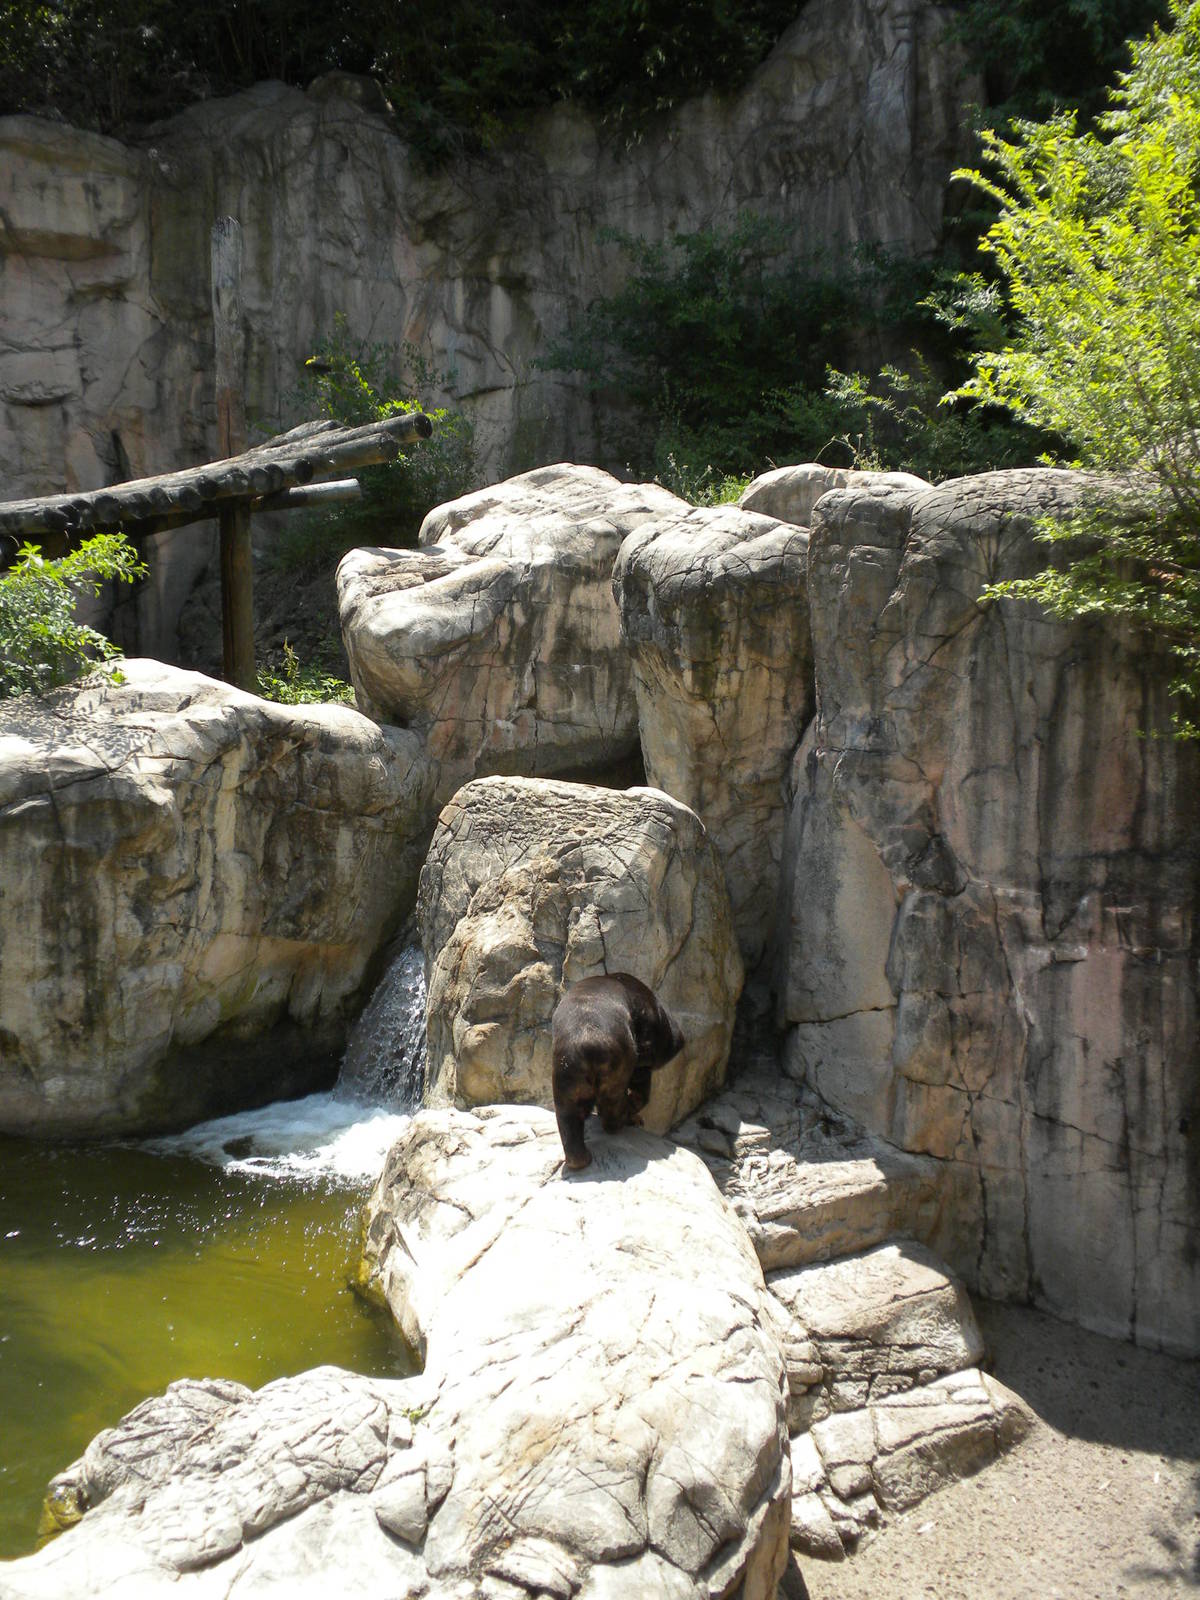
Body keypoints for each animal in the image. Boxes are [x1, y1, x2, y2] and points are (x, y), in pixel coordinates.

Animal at [551, 972, 686, 1172]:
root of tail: (585, 1042)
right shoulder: (645, 1036)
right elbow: (641, 1080)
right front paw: (635, 1115)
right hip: (617, 1061)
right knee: (612, 1099)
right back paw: (619, 1121)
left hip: (566, 1071)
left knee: (567, 1110)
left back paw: (579, 1159)